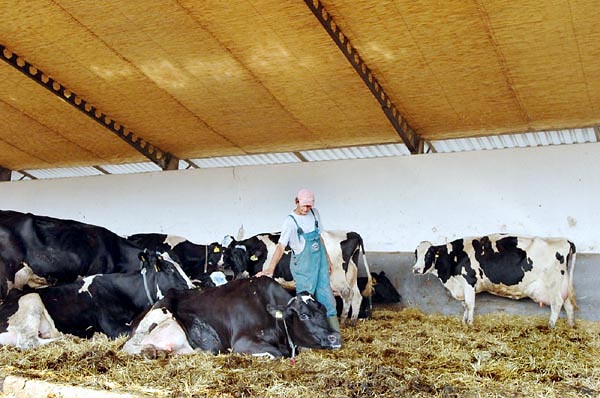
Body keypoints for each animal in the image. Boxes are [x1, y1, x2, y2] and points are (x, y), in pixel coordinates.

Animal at [122, 276, 342, 358]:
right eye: (303, 315)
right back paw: (149, 351)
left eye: (324, 311)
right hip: (162, 317)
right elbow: (278, 354)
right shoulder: (241, 342)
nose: (335, 337)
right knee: (129, 346)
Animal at [223, 232, 372, 324]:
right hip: (351, 274)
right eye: (232, 258)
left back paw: (343, 320)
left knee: (347, 294)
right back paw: (352, 321)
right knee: (357, 296)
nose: (240, 275)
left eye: (246, 257)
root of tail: (351, 233)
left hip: (338, 277)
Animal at [412, 232, 576, 328]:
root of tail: (566, 240)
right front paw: (464, 322)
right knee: (568, 306)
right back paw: (571, 326)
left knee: (557, 304)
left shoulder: (469, 282)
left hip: (553, 284)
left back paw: (550, 326)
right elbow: (465, 305)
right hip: (562, 285)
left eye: (428, 254)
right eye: (416, 254)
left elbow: (470, 305)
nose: (416, 269)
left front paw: (470, 324)